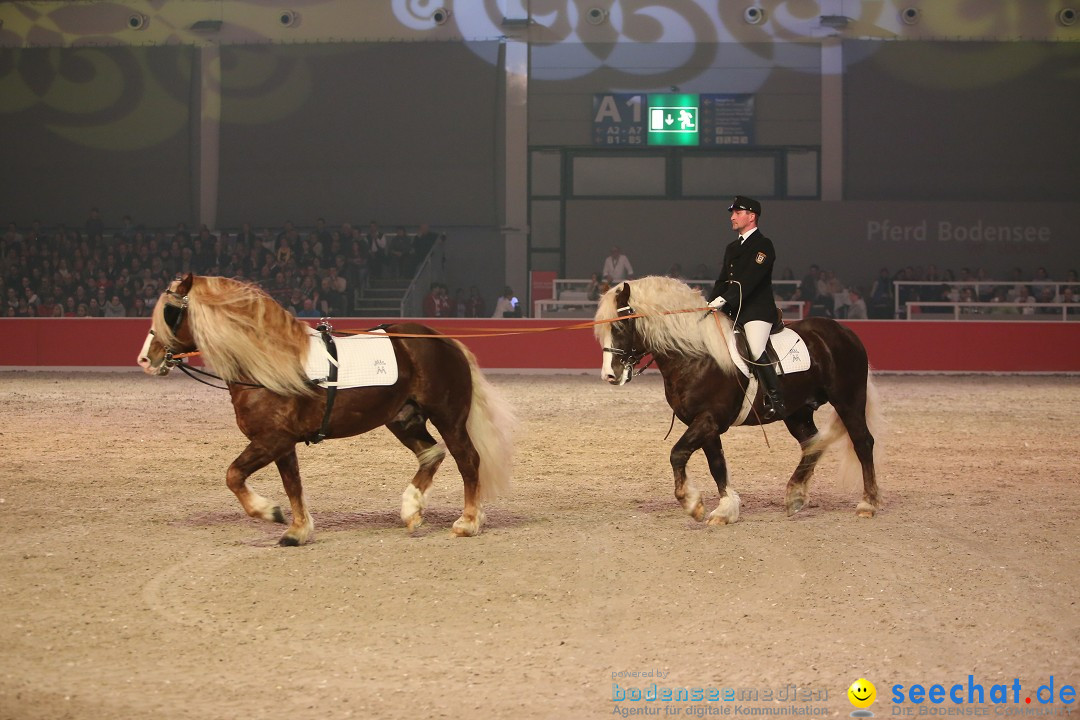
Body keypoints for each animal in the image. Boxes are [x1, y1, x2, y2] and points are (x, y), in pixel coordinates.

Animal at [137, 273, 516, 544]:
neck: (268, 364)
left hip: (448, 418)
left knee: (468, 460)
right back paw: (412, 509)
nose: (146, 359)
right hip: (402, 418)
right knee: (430, 453)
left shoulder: (272, 439)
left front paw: (269, 512)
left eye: (171, 311)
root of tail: (443, 340)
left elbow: (234, 475)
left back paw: (468, 522)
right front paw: (298, 531)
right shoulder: (282, 443)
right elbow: (292, 483)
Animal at [596, 274, 881, 524]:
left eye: (619, 325)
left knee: (862, 442)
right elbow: (717, 464)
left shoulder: (708, 420)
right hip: (797, 412)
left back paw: (867, 503)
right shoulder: (706, 425)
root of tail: (844, 331)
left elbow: (677, 454)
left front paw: (692, 504)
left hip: (848, 401)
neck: (696, 356)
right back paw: (795, 496)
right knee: (813, 444)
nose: (610, 375)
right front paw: (725, 509)